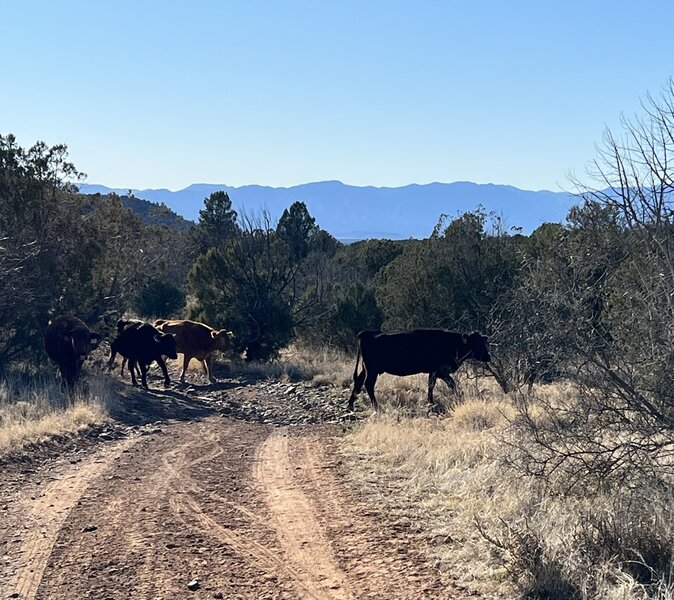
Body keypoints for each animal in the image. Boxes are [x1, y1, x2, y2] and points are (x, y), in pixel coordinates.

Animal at [346, 328, 488, 412]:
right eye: (476, 343)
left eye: (482, 342)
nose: (488, 356)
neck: (452, 343)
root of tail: (367, 334)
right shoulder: (439, 370)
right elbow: (445, 384)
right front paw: (434, 404)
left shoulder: (435, 372)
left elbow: (436, 385)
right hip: (372, 370)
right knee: (368, 385)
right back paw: (377, 408)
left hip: (365, 369)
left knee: (358, 383)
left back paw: (350, 406)